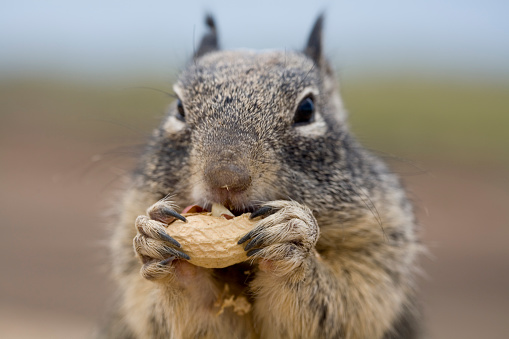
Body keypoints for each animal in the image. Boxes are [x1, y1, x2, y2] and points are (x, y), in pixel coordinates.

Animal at [98, 14, 420, 338]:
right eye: (178, 108)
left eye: (307, 110)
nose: (225, 179)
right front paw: (160, 246)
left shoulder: (377, 246)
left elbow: (347, 307)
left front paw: (292, 237)